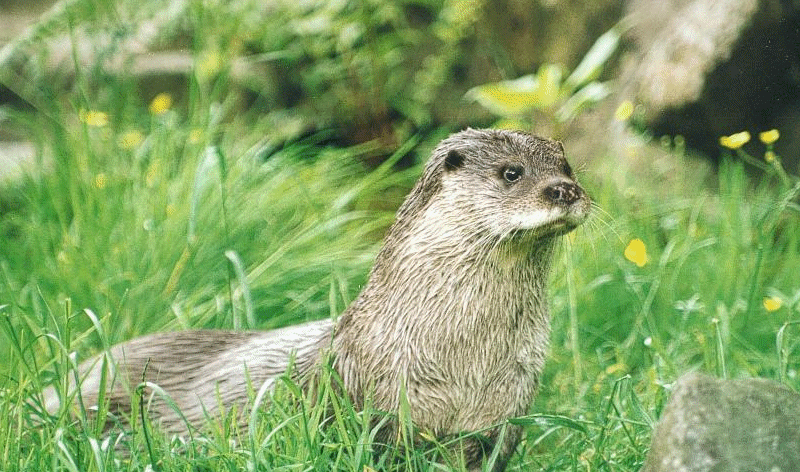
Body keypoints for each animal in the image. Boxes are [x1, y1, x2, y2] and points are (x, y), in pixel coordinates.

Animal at [47, 127, 592, 470]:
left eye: (567, 166)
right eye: (511, 172)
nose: (565, 190)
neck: (465, 362)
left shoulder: (509, 406)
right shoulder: (368, 402)